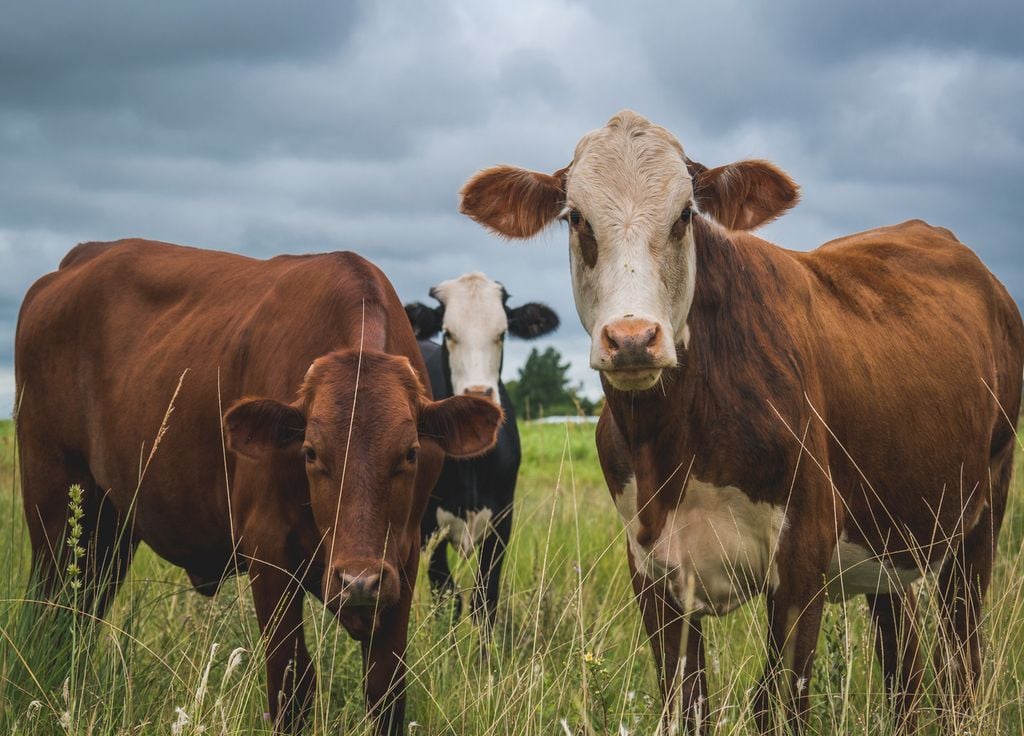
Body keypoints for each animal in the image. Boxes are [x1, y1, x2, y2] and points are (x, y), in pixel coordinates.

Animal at [16, 238, 503, 732]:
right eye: (310, 452)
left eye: (410, 453)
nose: (358, 581)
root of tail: (80, 258)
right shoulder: (268, 553)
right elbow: (292, 684)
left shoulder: (402, 560)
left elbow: (386, 689)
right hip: (53, 512)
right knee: (50, 616)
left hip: (110, 528)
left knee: (81, 613)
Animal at [403, 274, 561, 630]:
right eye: (448, 333)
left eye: (501, 333)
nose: (478, 395)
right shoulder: (428, 526)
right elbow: (448, 599)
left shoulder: (501, 522)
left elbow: (484, 600)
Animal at [458, 112, 1024, 732]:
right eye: (576, 217)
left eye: (685, 215)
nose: (631, 339)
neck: (673, 447)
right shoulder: (652, 571)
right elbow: (686, 704)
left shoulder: (803, 560)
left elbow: (777, 705)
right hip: (892, 531)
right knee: (904, 663)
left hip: (981, 518)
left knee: (962, 663)